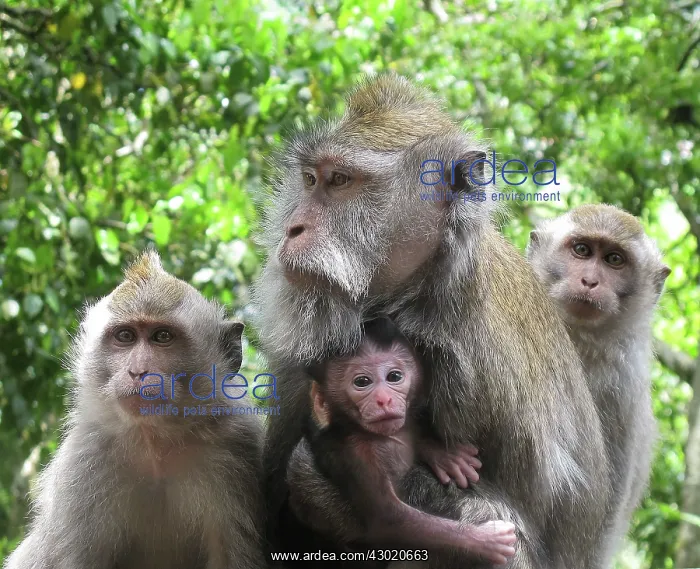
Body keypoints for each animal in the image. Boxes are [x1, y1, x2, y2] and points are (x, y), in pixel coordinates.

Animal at [5, 250, 266, 569]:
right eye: (125, 336)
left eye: (162, 336)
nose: (137, 371)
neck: (155, 443)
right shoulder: (83, 462)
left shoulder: (235, 447)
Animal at [295, 317, 515, 565]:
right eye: (362, 382)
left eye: (394, 377)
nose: (384, 399)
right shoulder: (355, 455)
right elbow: (390, 520)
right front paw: (484, 541)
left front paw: (443, 455)